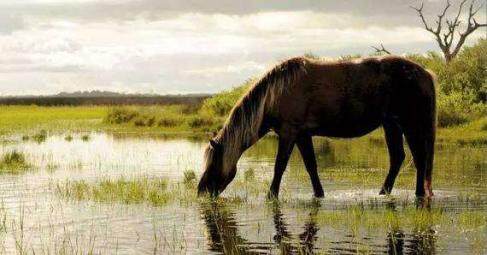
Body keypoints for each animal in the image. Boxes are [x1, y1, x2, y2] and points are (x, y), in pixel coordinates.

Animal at [198, 55, 438, 199]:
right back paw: (384, 192)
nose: (201, 191)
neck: (276, 93)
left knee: (419, 157)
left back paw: (417, 194)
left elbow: (279, 166)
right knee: (399, 157)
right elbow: (311, 166)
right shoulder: (302, 135)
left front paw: (271, 195)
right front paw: (318, 194)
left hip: (410, 124)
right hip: (392, 124)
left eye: (214, 162)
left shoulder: (289, 133)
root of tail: (425, 73)